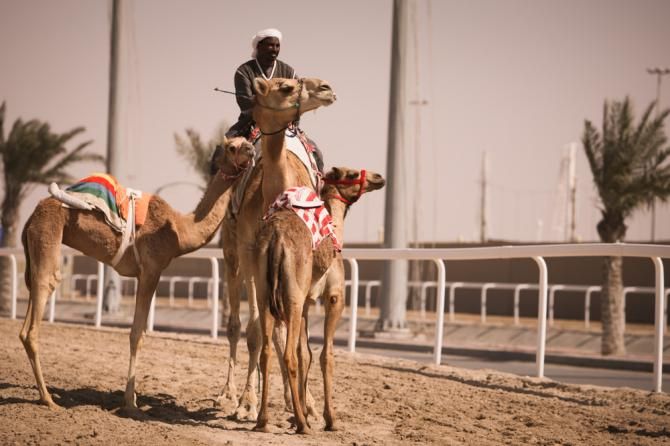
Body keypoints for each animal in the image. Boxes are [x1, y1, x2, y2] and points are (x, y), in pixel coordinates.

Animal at [19, 137, 255, 411]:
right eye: (232, 147)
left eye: (247, 141)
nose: (251, 150)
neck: (179, 230)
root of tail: (31, 216)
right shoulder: (151, 271)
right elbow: (136, 334)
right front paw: (131, 402)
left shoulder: (146, 274)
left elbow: (138, 332)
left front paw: (130, 398)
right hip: (48, 235)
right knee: (40, 304)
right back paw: (48, 399)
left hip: (34, 249)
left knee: (28, 311)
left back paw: (44, 395)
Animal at [217, 77, 336, 420]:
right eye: (285, 87)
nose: (326, 88)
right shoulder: (250, 253)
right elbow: (256, 330)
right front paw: (247, 403)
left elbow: (296, 336)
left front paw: (307, 404)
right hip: (232, 254)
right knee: (236, 324)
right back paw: (229, 394)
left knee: (282, 327)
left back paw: (290, 399)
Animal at [254, 167, 386, 433]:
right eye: (351, 174)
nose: (379, 178)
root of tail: (275, 238)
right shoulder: (334, 295)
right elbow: (327, 355)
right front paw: (330, 419)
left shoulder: (306, 303)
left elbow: (306, 353)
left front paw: (304, 412)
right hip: (291, 294)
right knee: (288, 355)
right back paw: (302, 425)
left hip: (264, 292)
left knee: (267, 351)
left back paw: (263, 421)